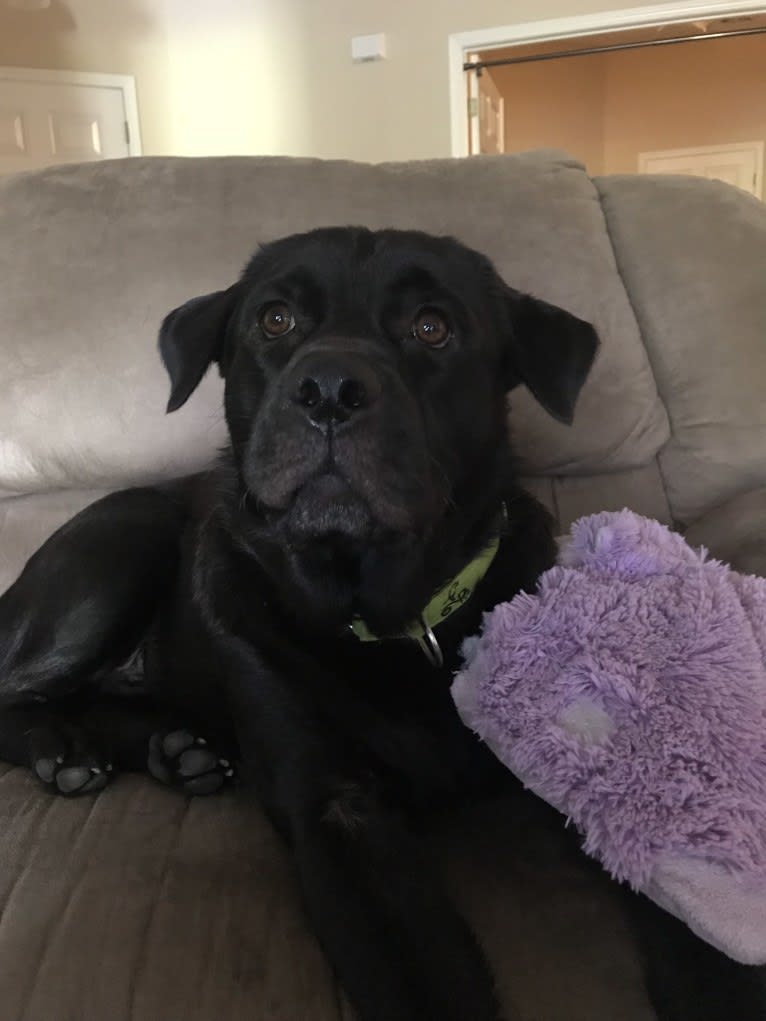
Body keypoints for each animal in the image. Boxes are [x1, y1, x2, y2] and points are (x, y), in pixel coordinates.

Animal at [0, 227, 763, 1016]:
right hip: (121, 546)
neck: (390, 615)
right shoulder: (337, 808)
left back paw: (176, 750)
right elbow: (427, 983)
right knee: (19, 690)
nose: (329, 388)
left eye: (432, 326)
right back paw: (65, 751)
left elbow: (695, 929)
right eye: (274, 319)